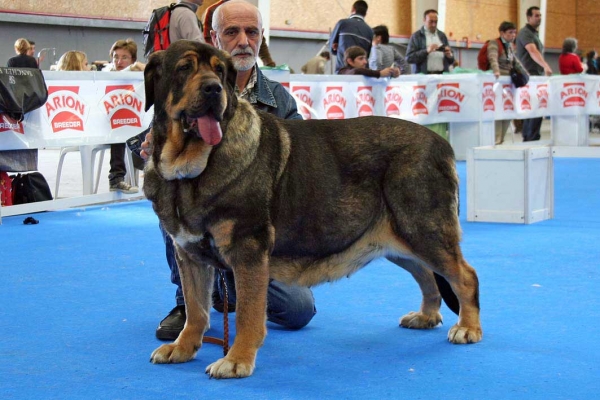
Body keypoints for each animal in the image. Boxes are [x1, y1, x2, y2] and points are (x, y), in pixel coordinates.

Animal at [143, 42, 480, 380]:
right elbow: (196, 309)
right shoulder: (189, 254)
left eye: (220, 71)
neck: (191, 168)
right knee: (428, 274)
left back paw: (468, 328)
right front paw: (182, 347)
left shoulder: (247, 250)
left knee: (464, 275)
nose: (214, 89)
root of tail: (441, 144)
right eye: (184, 68)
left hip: (423, 229)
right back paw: (426, 316)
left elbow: (247, 315)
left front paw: (236, 359)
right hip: (397, 240)